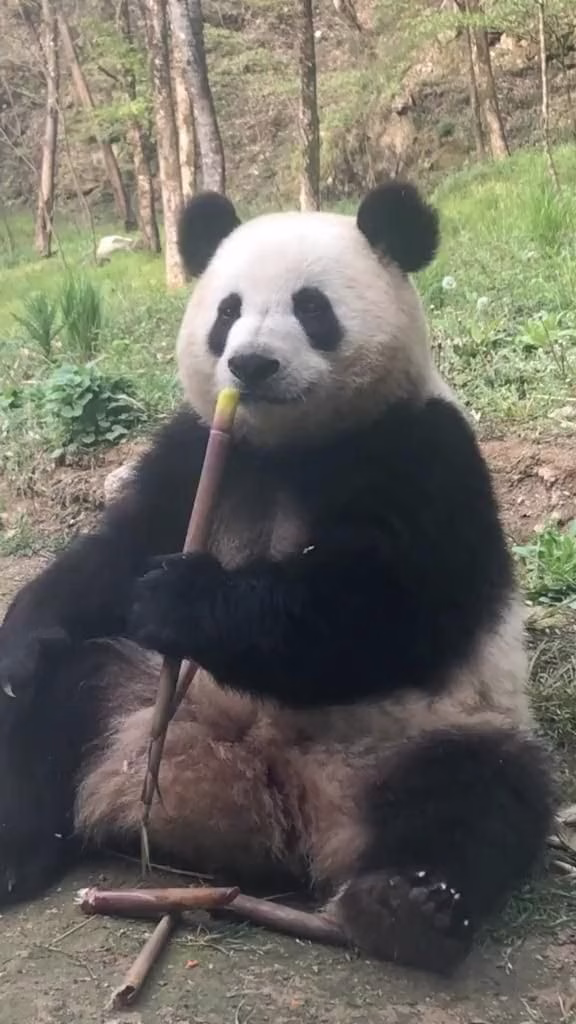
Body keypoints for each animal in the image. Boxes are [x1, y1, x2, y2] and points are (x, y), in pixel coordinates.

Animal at [0, 182, 554, 975]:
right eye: (227, 310)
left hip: (419, 733)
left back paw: (406, 905)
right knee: (59, 705)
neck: (288, 446)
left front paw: (185, 600)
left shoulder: (422, 453)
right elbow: (116, 550)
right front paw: (24, 639)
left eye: (312, 308)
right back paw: (15, 848)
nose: (252, 365)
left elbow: (382, 614)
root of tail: (265, 798)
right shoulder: (198, 451)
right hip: (136, 704)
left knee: (481, 793)